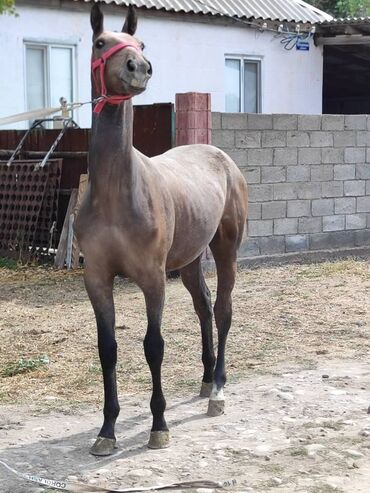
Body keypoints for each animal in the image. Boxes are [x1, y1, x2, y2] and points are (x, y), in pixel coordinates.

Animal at [74, 4, 249, 458]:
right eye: (101, 43)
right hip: (188, 261)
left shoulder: (153, 280)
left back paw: (218, 390)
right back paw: (205, 379)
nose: (139, 67)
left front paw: (159, 425)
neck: (118, 194)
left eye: (141, 42)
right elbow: (107, 349)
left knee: (222, 310)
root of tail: (220, 155)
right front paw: (107, 430)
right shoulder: (97, 279)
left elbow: (154, 347)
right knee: (203, 307)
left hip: (227, 249)